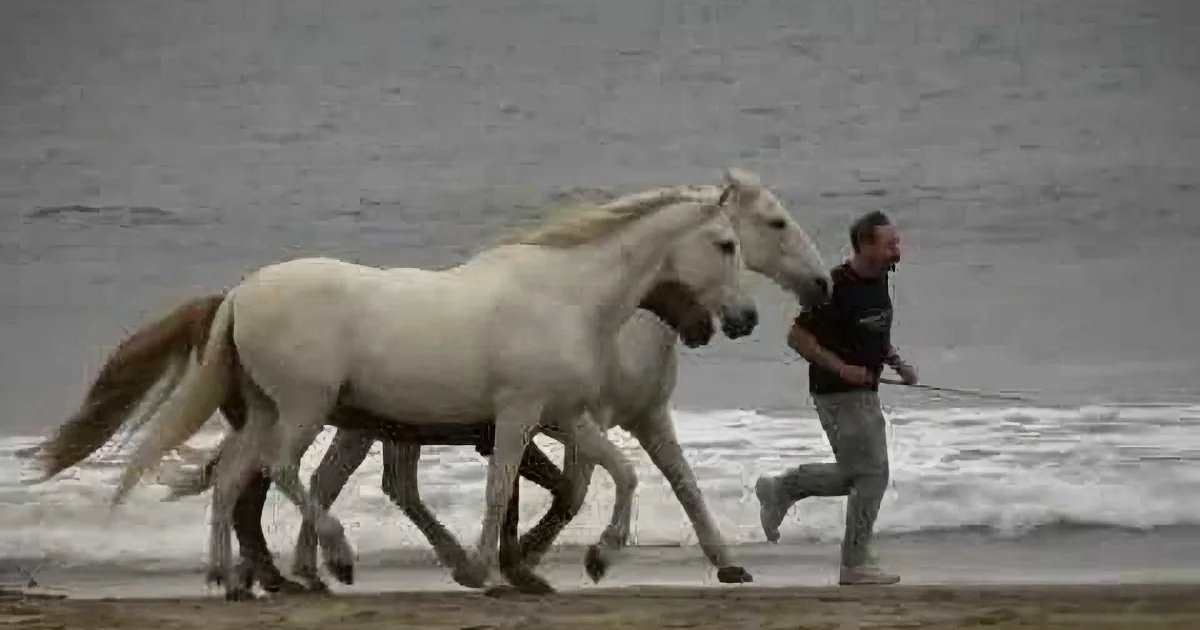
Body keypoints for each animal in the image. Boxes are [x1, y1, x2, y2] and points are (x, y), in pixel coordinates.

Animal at [41, 180, 762, 599]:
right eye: (726, 244)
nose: (740, 320)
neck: (564, 296)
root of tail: (241, 294)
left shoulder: (567, 413)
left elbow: (619, 475)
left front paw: (599, 558)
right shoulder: (518, 413)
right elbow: (505, 487)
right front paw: (488, 572)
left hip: (270, 410)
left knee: (232, 479)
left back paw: (233, 578)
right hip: (305, 408)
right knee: (278, 471)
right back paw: (333, 559)